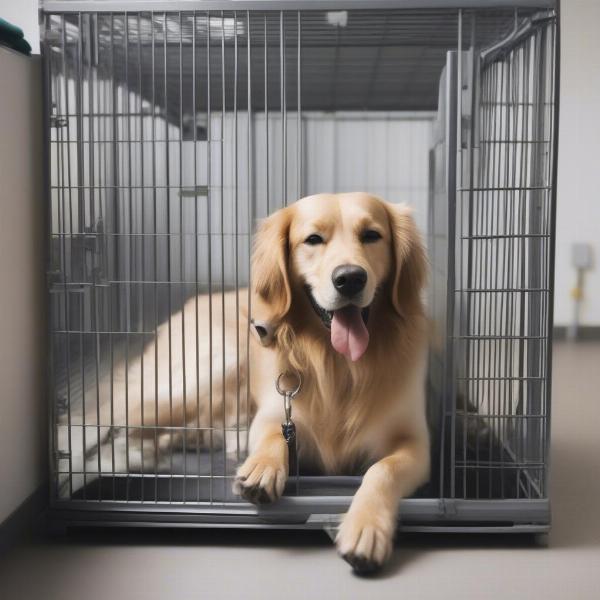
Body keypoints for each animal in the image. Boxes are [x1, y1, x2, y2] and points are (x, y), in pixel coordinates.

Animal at [59, 195, 426, 576]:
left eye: (372, 235)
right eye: (313, 240)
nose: (350, 279)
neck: (339, 366)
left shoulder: (416, 443)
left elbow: (382, 470)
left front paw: (366, 529)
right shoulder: (277, 410)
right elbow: (272, 436)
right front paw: (262, 469)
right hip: (208, 369)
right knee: (93, 415)